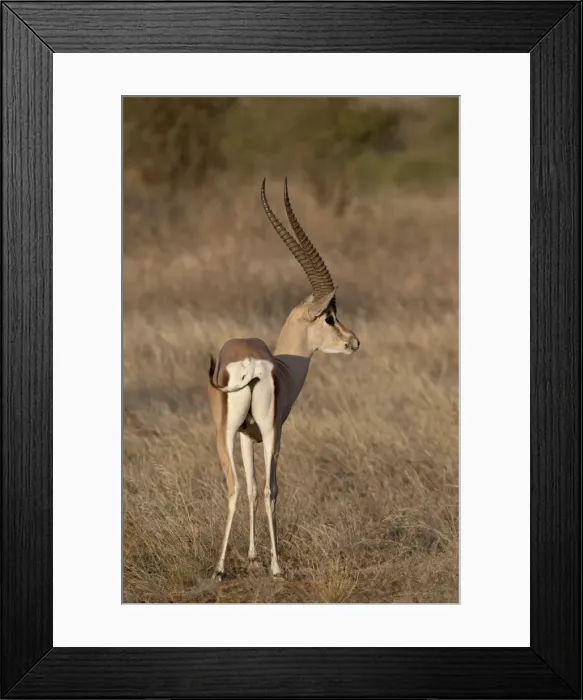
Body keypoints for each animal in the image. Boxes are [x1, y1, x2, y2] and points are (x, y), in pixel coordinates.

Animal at [207, 178, 360, 580]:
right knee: (267, 489)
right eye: (329, 317)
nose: (353, 342)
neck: (284, 365)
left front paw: (251, 556)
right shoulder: (272, 431)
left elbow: (249, 486)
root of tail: (249, 364)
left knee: (235, 486)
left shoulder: (247, 434)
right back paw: (272, 567)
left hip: (227, 432)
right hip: (267, 431)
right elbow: (267, 488)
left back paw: (221, 568)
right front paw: (267, 561)